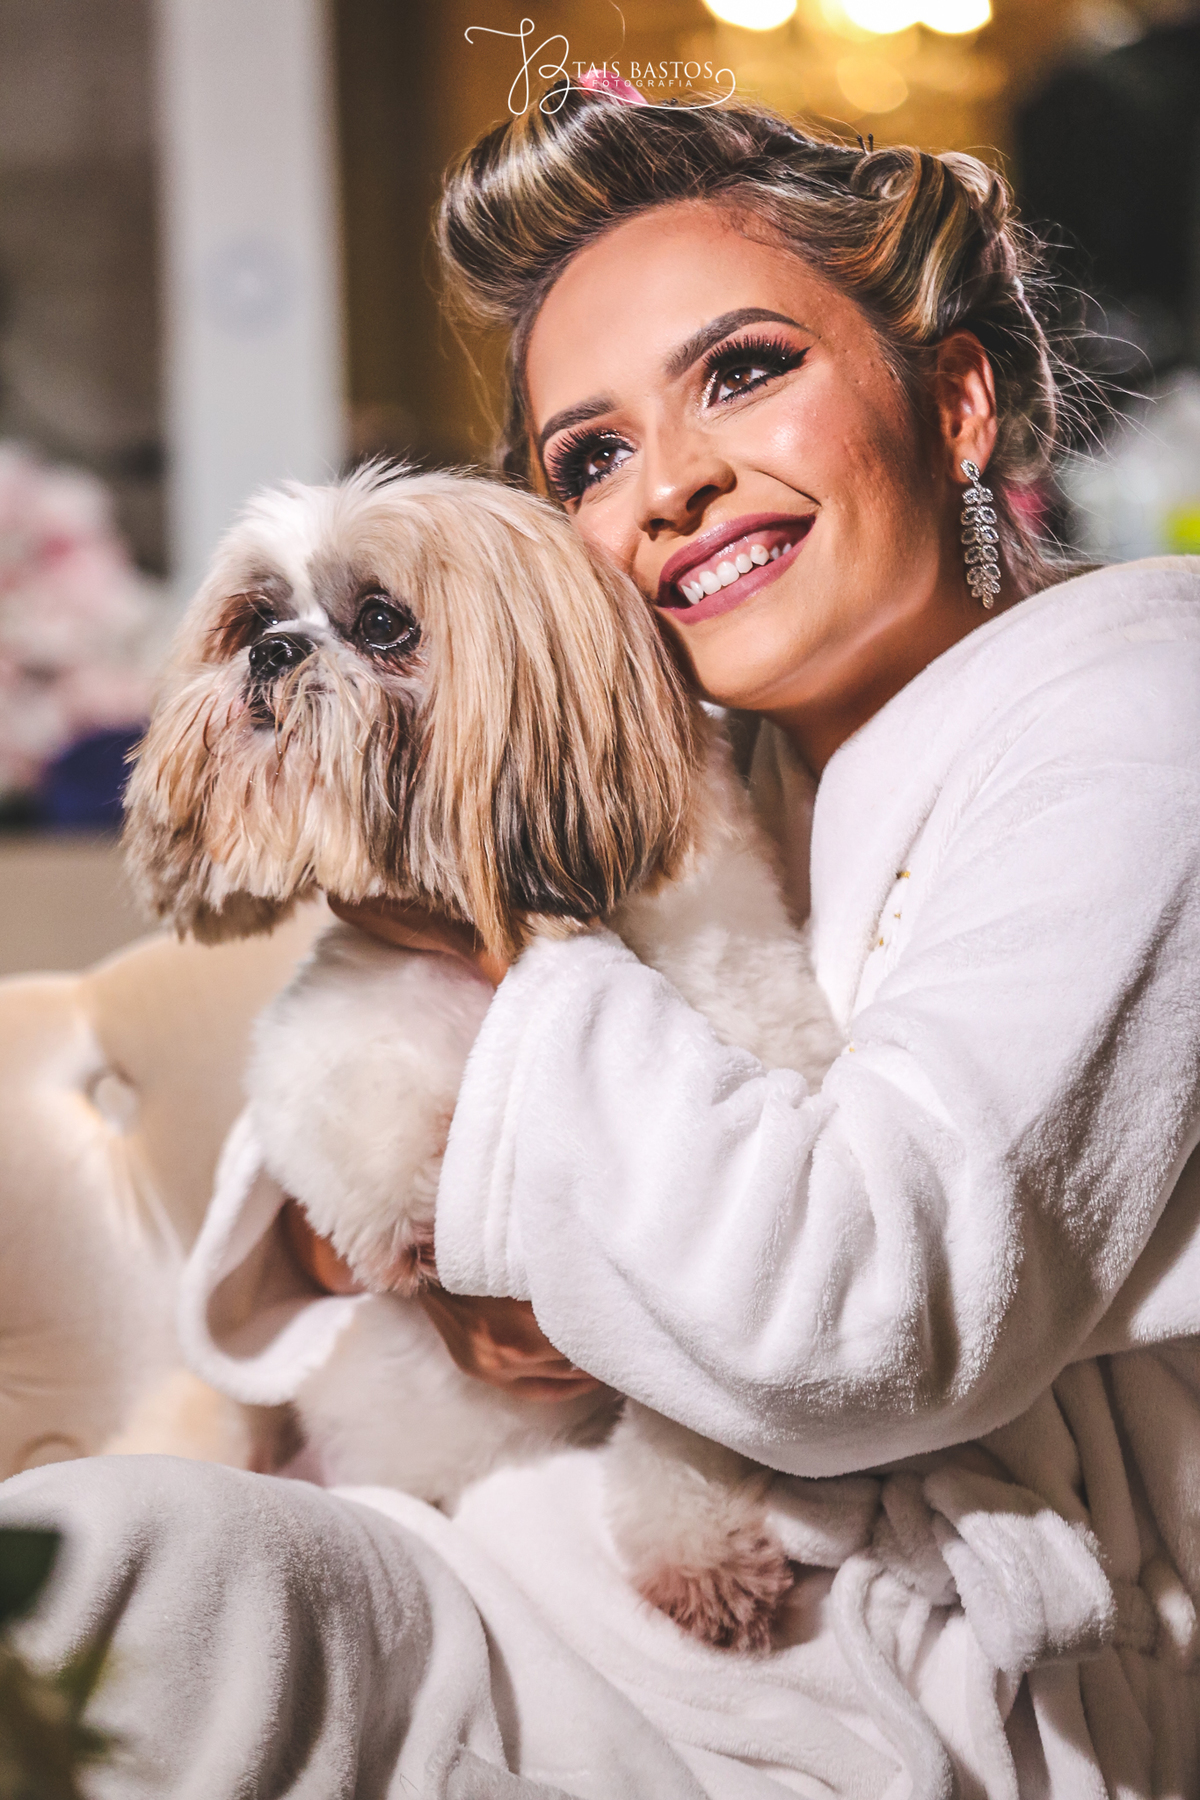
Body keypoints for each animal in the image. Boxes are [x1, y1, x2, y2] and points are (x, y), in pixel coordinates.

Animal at [123, 464, 843, 1651]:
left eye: (381, 623)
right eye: (252, 616)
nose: (270, 652)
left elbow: (693, 1417)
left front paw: (699, 1555)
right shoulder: (343, 1011)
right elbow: (345, 1098)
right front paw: (415, 1219)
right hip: (223, 1409)